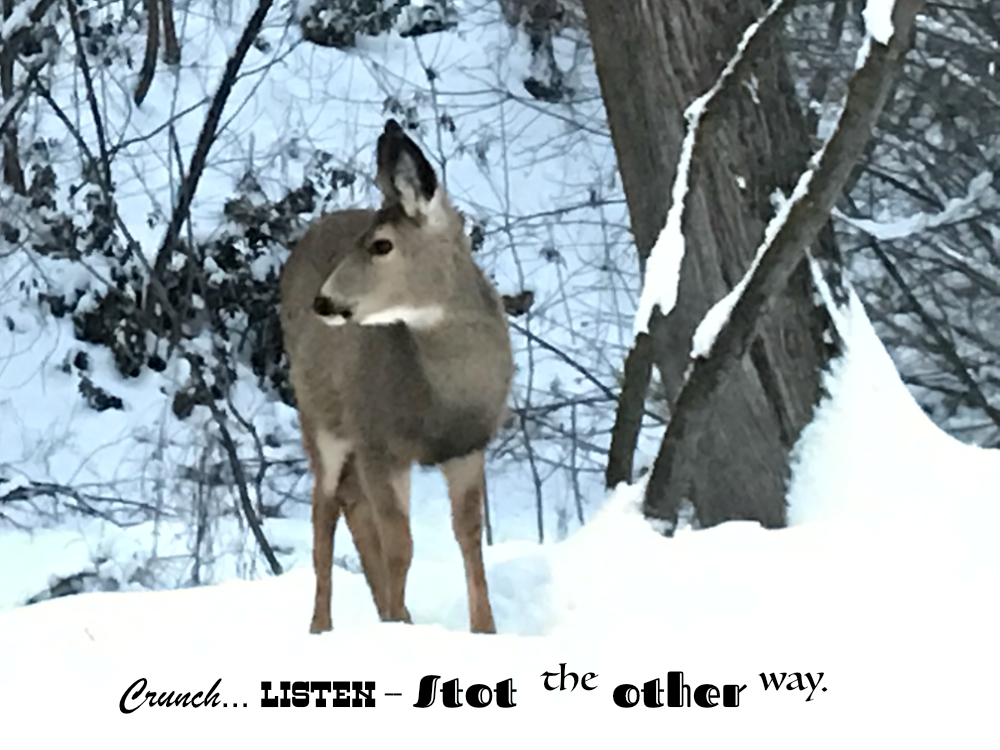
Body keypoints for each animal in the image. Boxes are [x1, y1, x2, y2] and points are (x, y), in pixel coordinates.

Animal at [279, 120, 514, 635]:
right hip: (319, 415)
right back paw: (323, 625)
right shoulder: (378, 442)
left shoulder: (468, 445)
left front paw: (485, 629)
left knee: (350, 505)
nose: (323, 301)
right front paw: (396, 629)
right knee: (324, 509)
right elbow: (400, 545)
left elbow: (469, 536)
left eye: (381, 244)